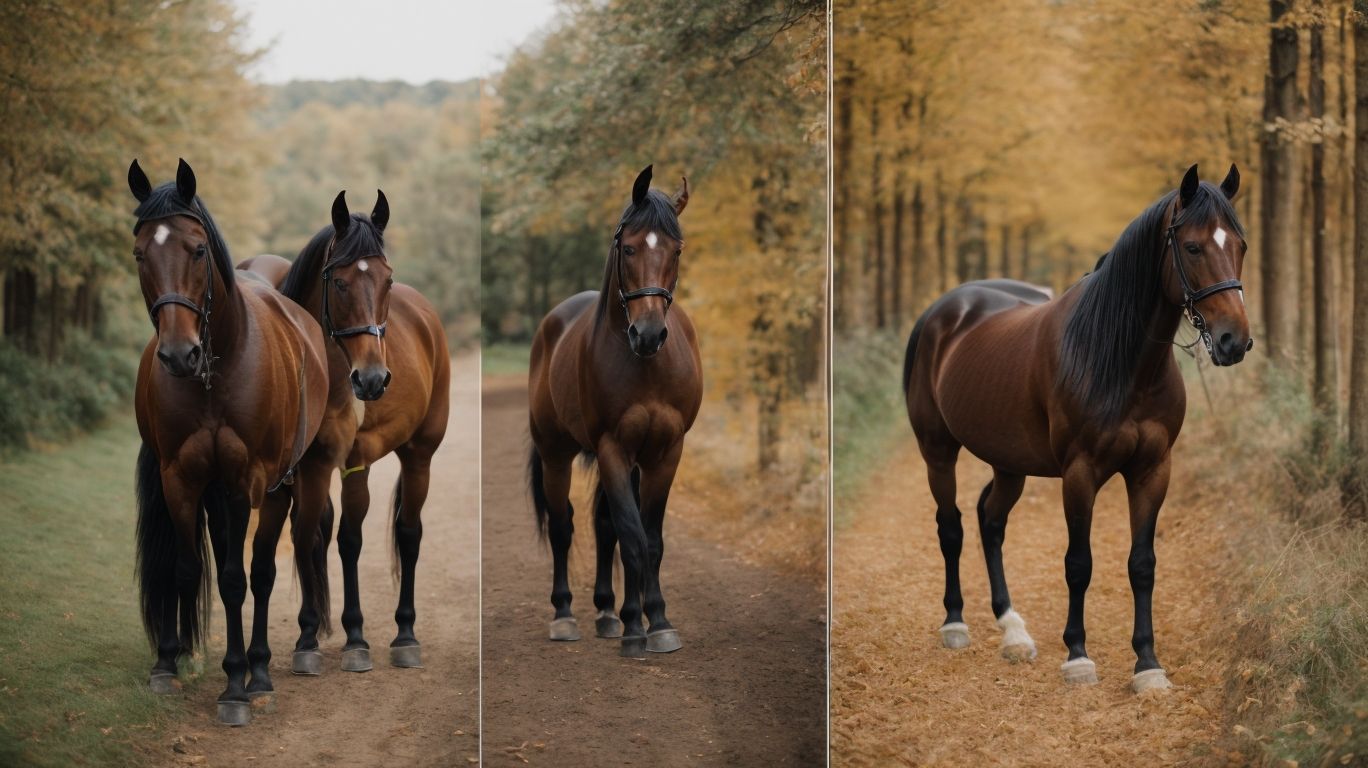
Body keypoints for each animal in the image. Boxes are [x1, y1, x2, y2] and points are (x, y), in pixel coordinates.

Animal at [129, 159, 336, 725]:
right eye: (139, 253)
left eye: (198, 249)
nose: (179, 354)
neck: (215, 373)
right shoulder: (180, 479)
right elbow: (186, 569)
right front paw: (169, 664)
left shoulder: (248, 481)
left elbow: (239, 580)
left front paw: (239, 685)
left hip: (279, 484)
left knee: (260, 571)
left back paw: (260, 669)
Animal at [255, 190, 451, 672]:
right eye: (340, 282)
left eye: (386, 279)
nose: (373, 379)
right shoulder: (303, 470)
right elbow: (308, 536)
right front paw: (309, 635)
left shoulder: (352, 461)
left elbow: (348, 539)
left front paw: (354, 637)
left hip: (418, 455)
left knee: (407, 533)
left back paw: (404, 635)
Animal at [527, 165, 702, 658]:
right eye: (628, 247)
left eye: (676, 249)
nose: (649, 334)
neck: (645, 366)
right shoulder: (611, 449)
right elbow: (632, 538)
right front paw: (635, 629)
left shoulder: (664, 453)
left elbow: (650, 539)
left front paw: (656, 621)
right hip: (556, 454)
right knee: (564, 526)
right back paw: (566, 615)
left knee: (603, 525)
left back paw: (607, 612)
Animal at [903, 164, 1251, 693]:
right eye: (1192, 247)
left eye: (1240, 245)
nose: (1234, 341)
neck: (1120, 360)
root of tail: (940, 313)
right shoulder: (1080, 473)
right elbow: (1078, 563)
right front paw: (1078, 656)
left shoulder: (1153, 471)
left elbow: (1142, 564)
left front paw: (1147, 664)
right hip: (937, 450)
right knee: (952, 527)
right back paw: (956, 624)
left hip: (1009, 463)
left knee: (991, 520)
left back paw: (1013, 631)